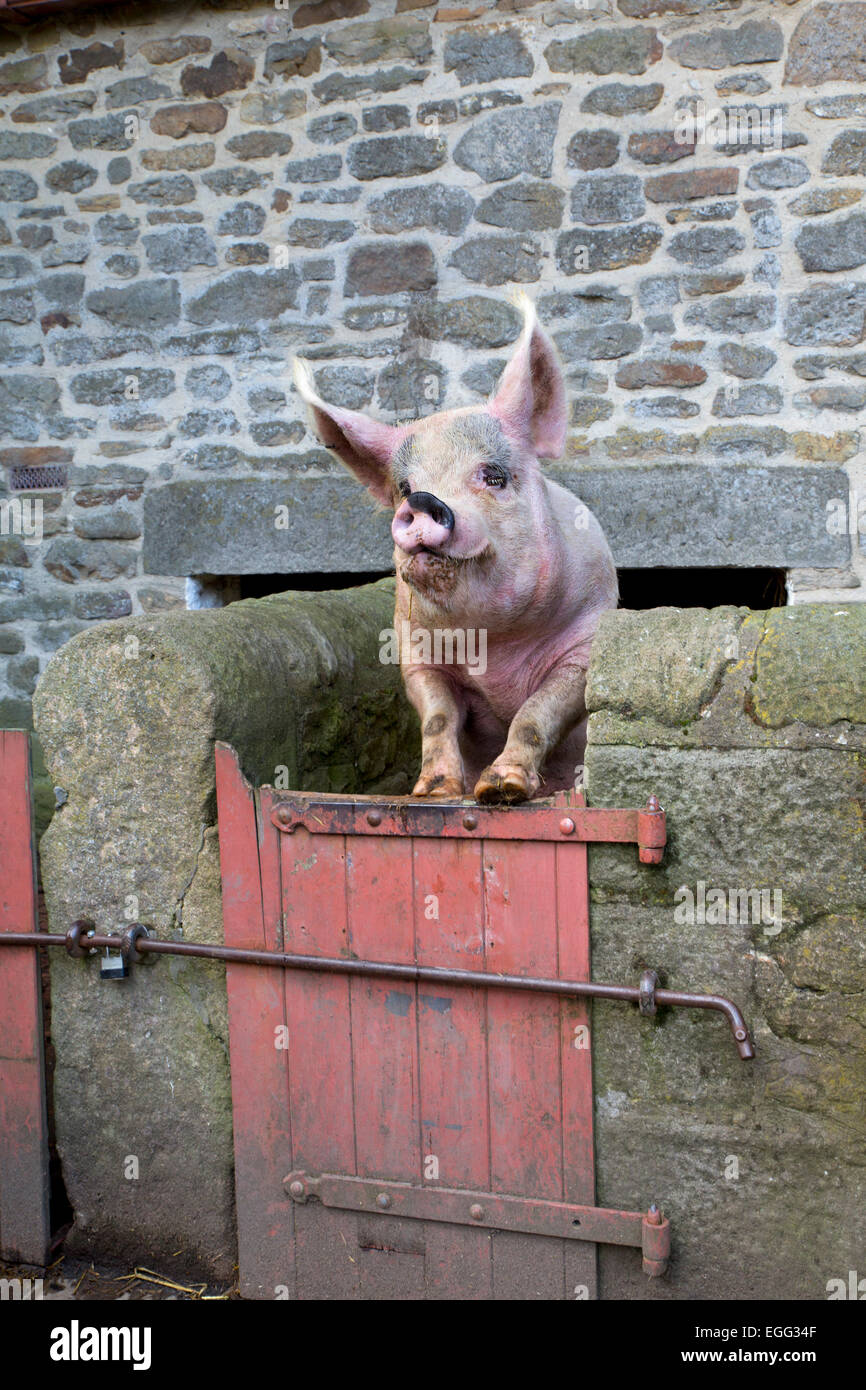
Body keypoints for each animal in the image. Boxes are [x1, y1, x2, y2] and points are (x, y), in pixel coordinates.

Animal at [294, 298, 619, 811]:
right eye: (404, 486)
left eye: (494, 476)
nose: (423, 500)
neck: (494, 648)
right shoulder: (416, 653)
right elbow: (438, 718)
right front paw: (433, 793)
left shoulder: (583, 643)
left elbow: (536, 713)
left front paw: (500, 791)